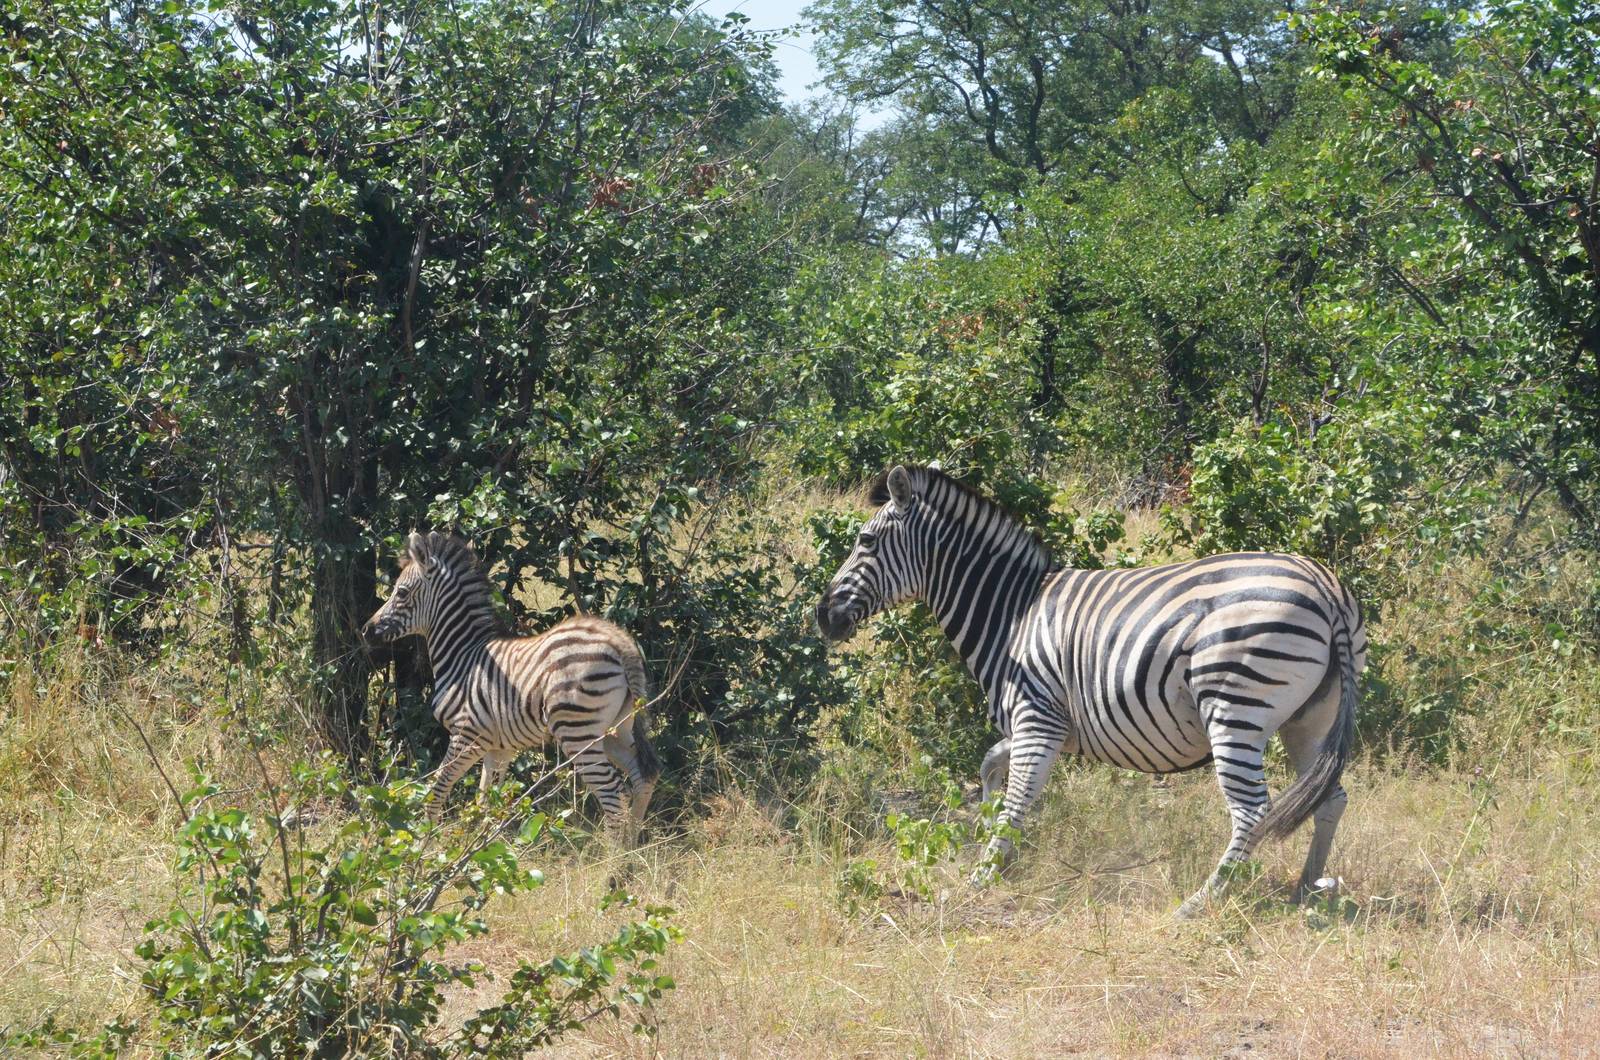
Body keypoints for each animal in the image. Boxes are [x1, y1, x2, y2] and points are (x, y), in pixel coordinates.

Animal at [362, 531, 659, 845]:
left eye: (401, 593)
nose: (366, 630)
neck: (463, 655)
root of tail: (620, 642)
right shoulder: (498, 747)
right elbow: (486, 800)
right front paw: (481, 845)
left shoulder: (467, 735)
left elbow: (437, 791)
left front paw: (423, 845)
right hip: (615, 729)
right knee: (643, 776)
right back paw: (630, 850)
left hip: (577, 731)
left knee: (614, 792)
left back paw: (611, 858)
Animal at [815, 465, 1365, 916]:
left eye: (865, 541)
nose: (823, 617)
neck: (1012, 615)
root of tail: (1327, 588)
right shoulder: (1047, 724)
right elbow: (992, 767)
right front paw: (992, 840)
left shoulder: (1037, 716)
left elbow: (1017, 797)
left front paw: (983, 875)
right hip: (1309, 719)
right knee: (1331, 797)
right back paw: (1305, 886)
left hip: (1236, 707)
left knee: (1252, 809)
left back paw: (1200, 902)